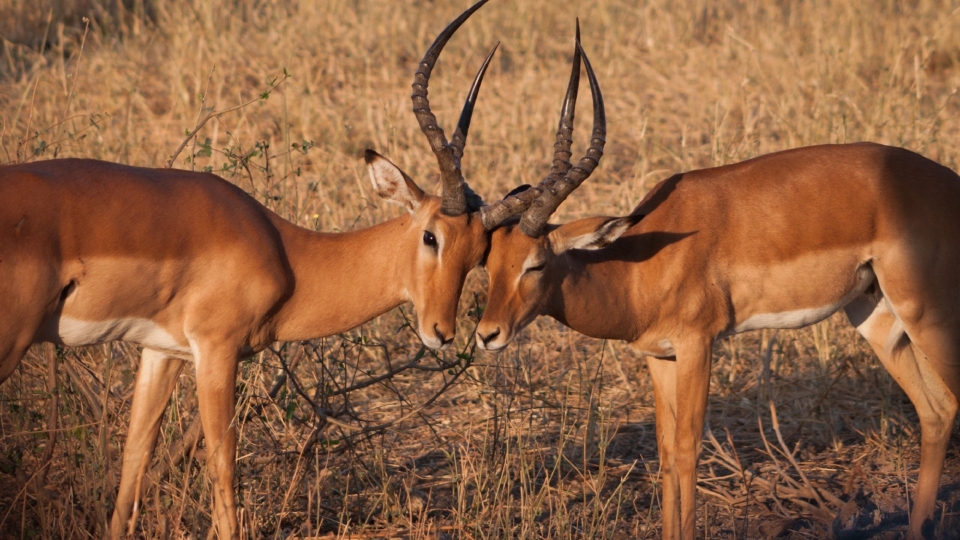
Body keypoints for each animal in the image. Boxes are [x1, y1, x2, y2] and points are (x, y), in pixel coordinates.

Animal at [0, 0, 544, 536]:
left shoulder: (161, 351)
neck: (285, 251)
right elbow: (222, 466)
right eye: (431, 236)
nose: (442, 332)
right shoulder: (216, 351)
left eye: (478, 254)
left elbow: (133, 466)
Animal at [476, 39, 960, 540]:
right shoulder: (659, 356)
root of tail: (950, 181)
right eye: (488, 263)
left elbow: (688, 448)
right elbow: (666, 452)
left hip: (930, 313)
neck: (637, 266)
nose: (487, 334)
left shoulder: (698, 344)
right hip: (877, 319)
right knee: (937, 409)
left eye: (535, 263)